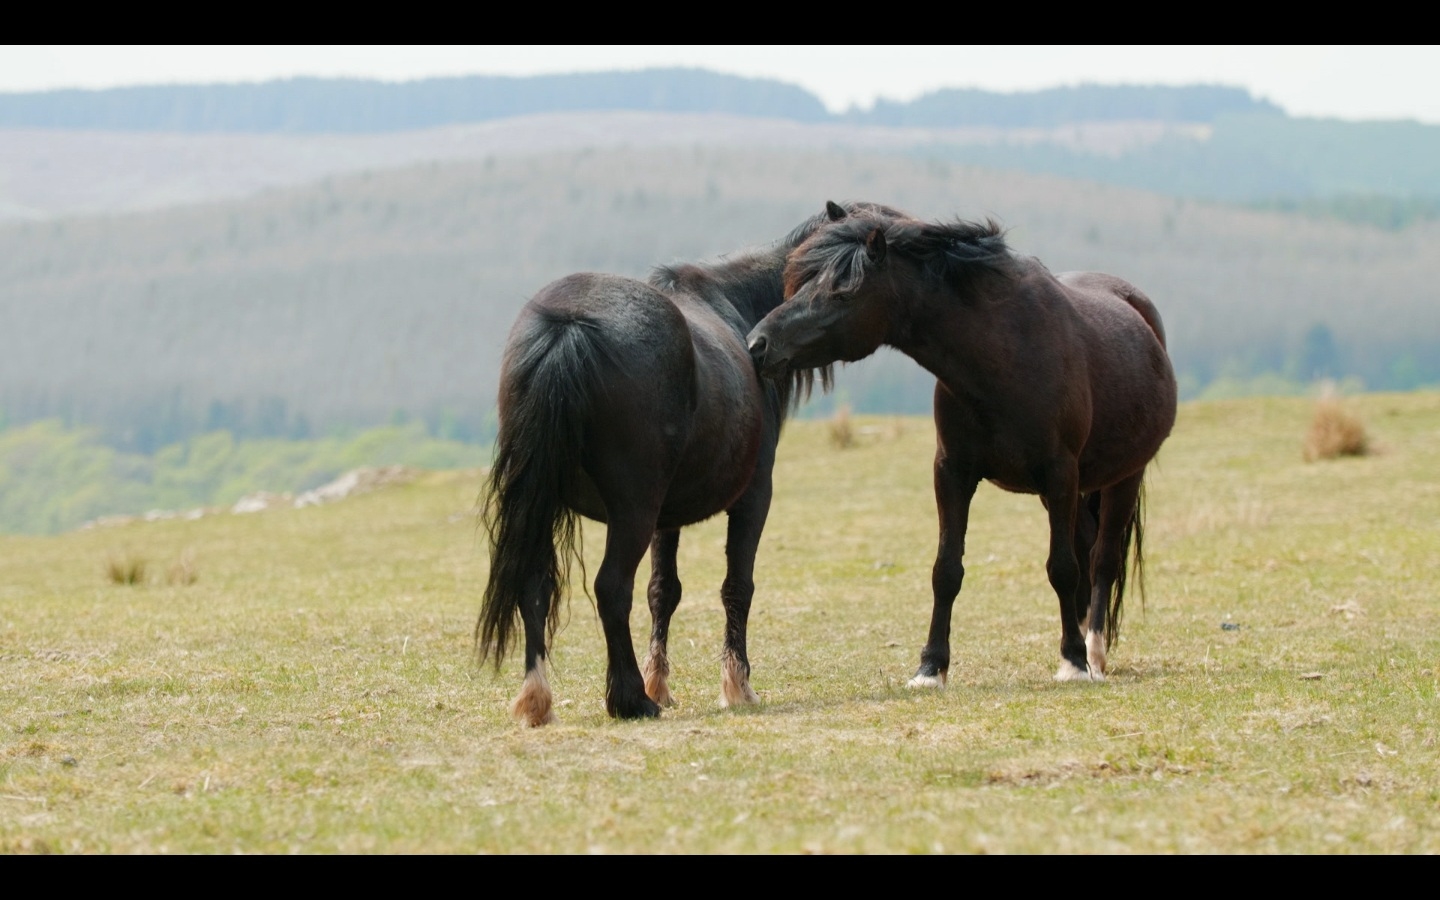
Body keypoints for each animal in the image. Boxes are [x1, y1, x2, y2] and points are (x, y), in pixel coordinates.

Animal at [472, 200, 898, 720]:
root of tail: (565, 326)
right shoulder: (753, 496)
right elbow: (737, 585)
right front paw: (735, 685)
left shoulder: (666, 516)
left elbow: (663, 591)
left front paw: (661, 683)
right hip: (631, 510)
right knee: (612, 587)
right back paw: (629, 698)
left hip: (547, 502)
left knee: (534, 584)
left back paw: (539, 698)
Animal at [748, 203, 1175, 679]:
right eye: (802, 283)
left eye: (842, 293)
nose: (758, 344)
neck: (1004, 355)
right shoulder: (952, 472)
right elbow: (947, 570)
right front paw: (931, 667)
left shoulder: (1060, 472)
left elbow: (1062, 568)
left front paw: (1072, 662)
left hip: (1122, 478)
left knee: (1102, 561)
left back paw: (1094, 651)